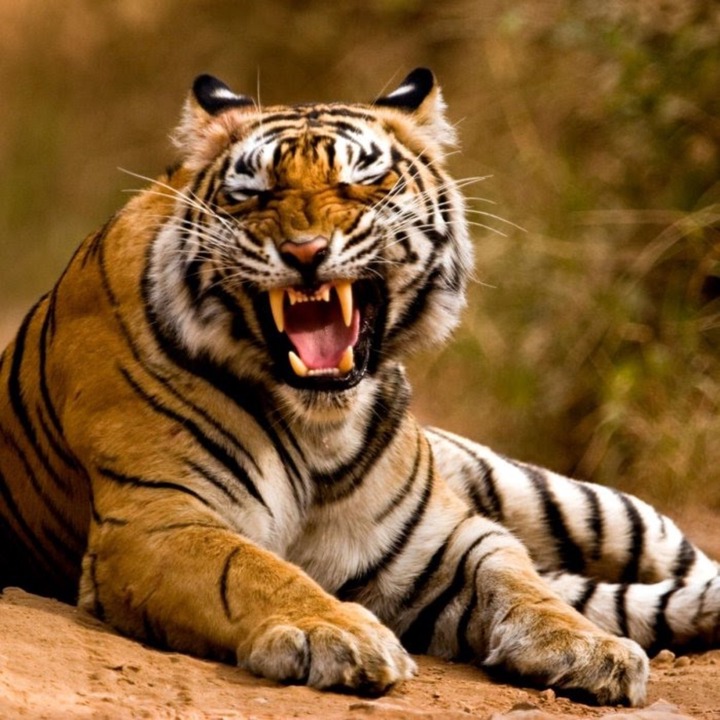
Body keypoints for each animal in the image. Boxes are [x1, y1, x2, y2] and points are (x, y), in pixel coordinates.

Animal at [1, 67, 719, 707]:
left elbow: (520, 581)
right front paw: (338, 634)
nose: (305, 251)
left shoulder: (442, 542)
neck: (318, 425)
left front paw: (586, 648)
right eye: (253, 193)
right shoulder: (158, 519)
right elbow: (253, 569)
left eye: (362, 181)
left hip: (579, 504)